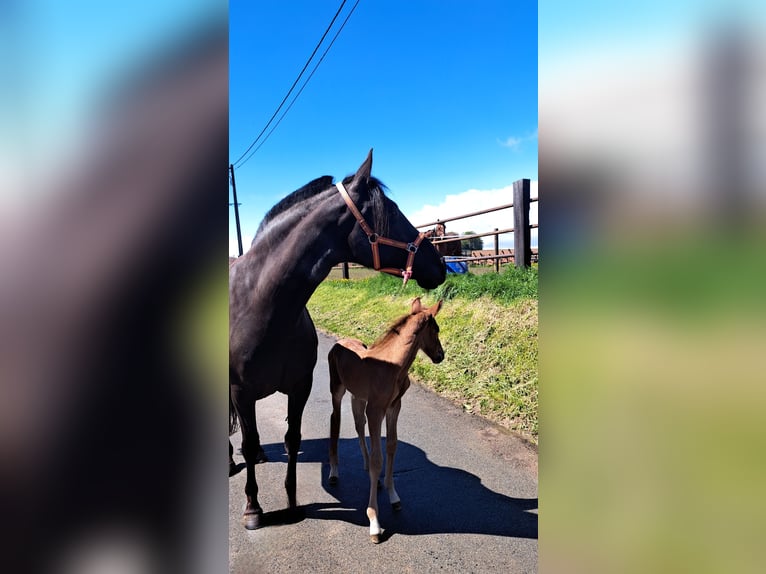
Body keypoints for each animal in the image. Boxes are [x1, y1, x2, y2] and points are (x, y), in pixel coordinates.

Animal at [228, 150, 448, 532]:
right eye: (391, 212)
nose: (441, 265)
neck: (262, 307)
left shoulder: (300, 386)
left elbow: (292, 437)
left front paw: (292, 503)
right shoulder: (241, 391)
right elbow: (251, 437)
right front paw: (253, 509)